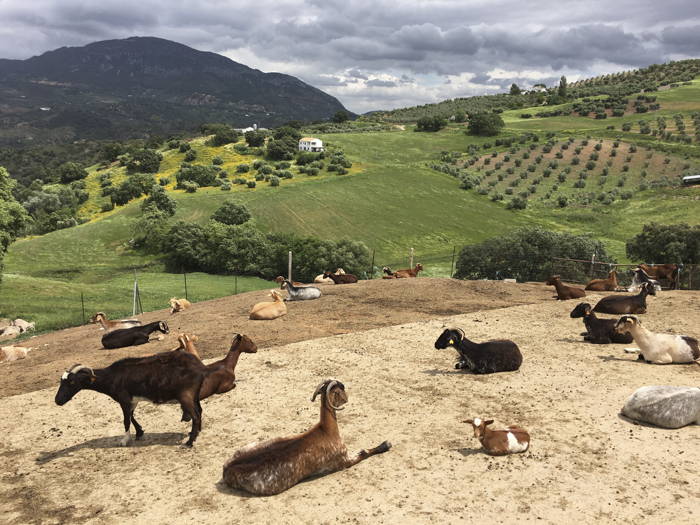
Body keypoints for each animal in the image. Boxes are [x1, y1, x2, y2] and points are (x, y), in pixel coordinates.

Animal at [53, 352, 206, 446]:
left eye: (72, 382)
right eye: (61, 381)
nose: (57, 401)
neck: (111, 377)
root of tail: (199, 366)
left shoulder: (124, 399)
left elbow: (126, 420)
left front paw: (124, 440)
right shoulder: (132, 401)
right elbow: (131, 417)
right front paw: (139, 432)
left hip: (186, 394)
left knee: (195, 415)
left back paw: (190, 442)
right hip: (194, 394)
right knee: (199, 411)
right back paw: (196, 432)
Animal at [221, 376, 392, 496]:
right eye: (341, 389)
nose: (347, 398)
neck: (326, 430)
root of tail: (226, 470)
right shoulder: (342, 460)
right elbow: (363, 452)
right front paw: (386, 444)